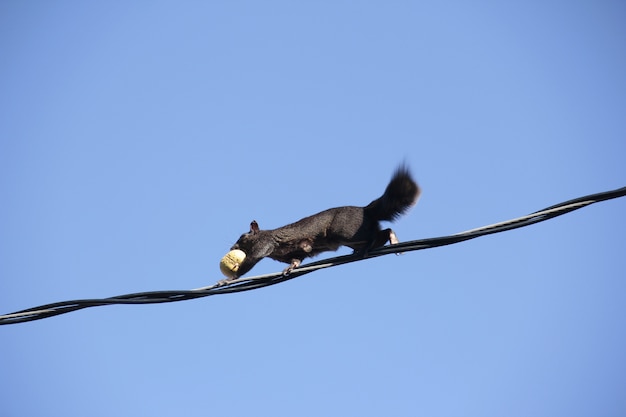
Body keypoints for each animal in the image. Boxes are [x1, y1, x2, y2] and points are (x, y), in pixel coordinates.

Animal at [224, 163, 420, 280]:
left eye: (242, 237)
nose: (232, 247)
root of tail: (366, 210)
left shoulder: (265, 243)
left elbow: (254, 258)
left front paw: (227, 279)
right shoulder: (295, 252)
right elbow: (297, 259)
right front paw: (290, 268)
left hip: (346, 232)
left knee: (377, 235)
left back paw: (374, 245)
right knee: (383, 233)